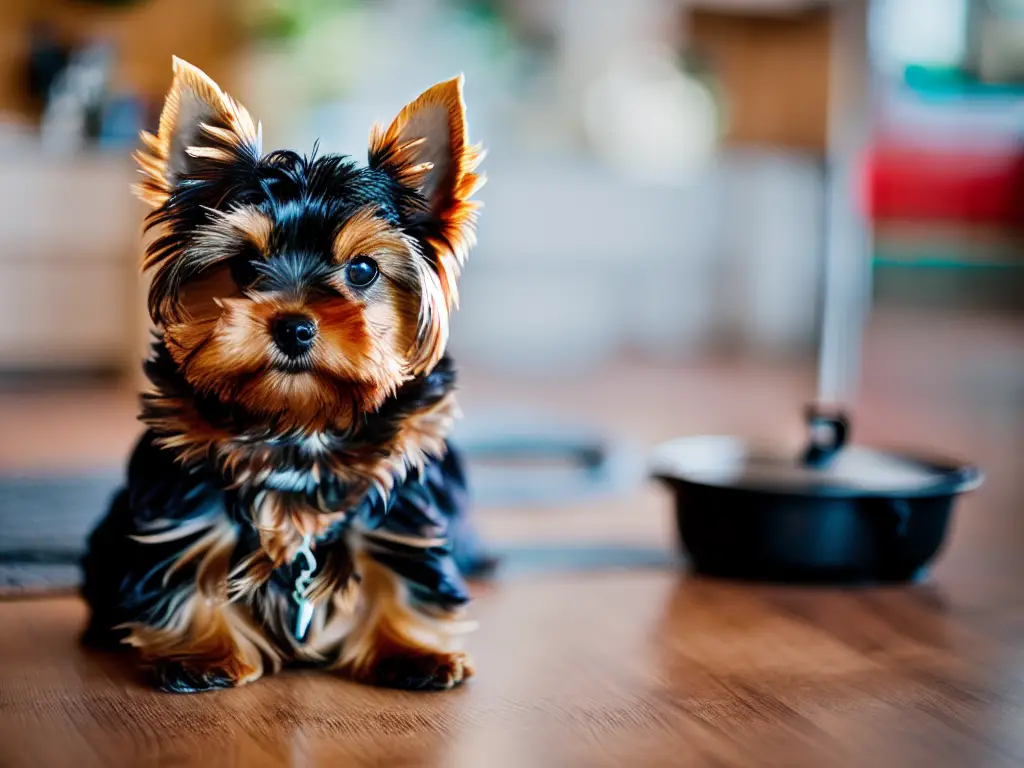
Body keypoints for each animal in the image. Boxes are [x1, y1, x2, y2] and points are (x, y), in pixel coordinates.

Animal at [77, 60, 485, 696]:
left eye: (362, 269)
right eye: (244, 266)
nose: (294, 327)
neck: (298, 420)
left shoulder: (400, 477)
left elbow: (401, 554)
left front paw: (410, 649)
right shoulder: (185, 478)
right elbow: (190, 548)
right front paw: (201, 652)